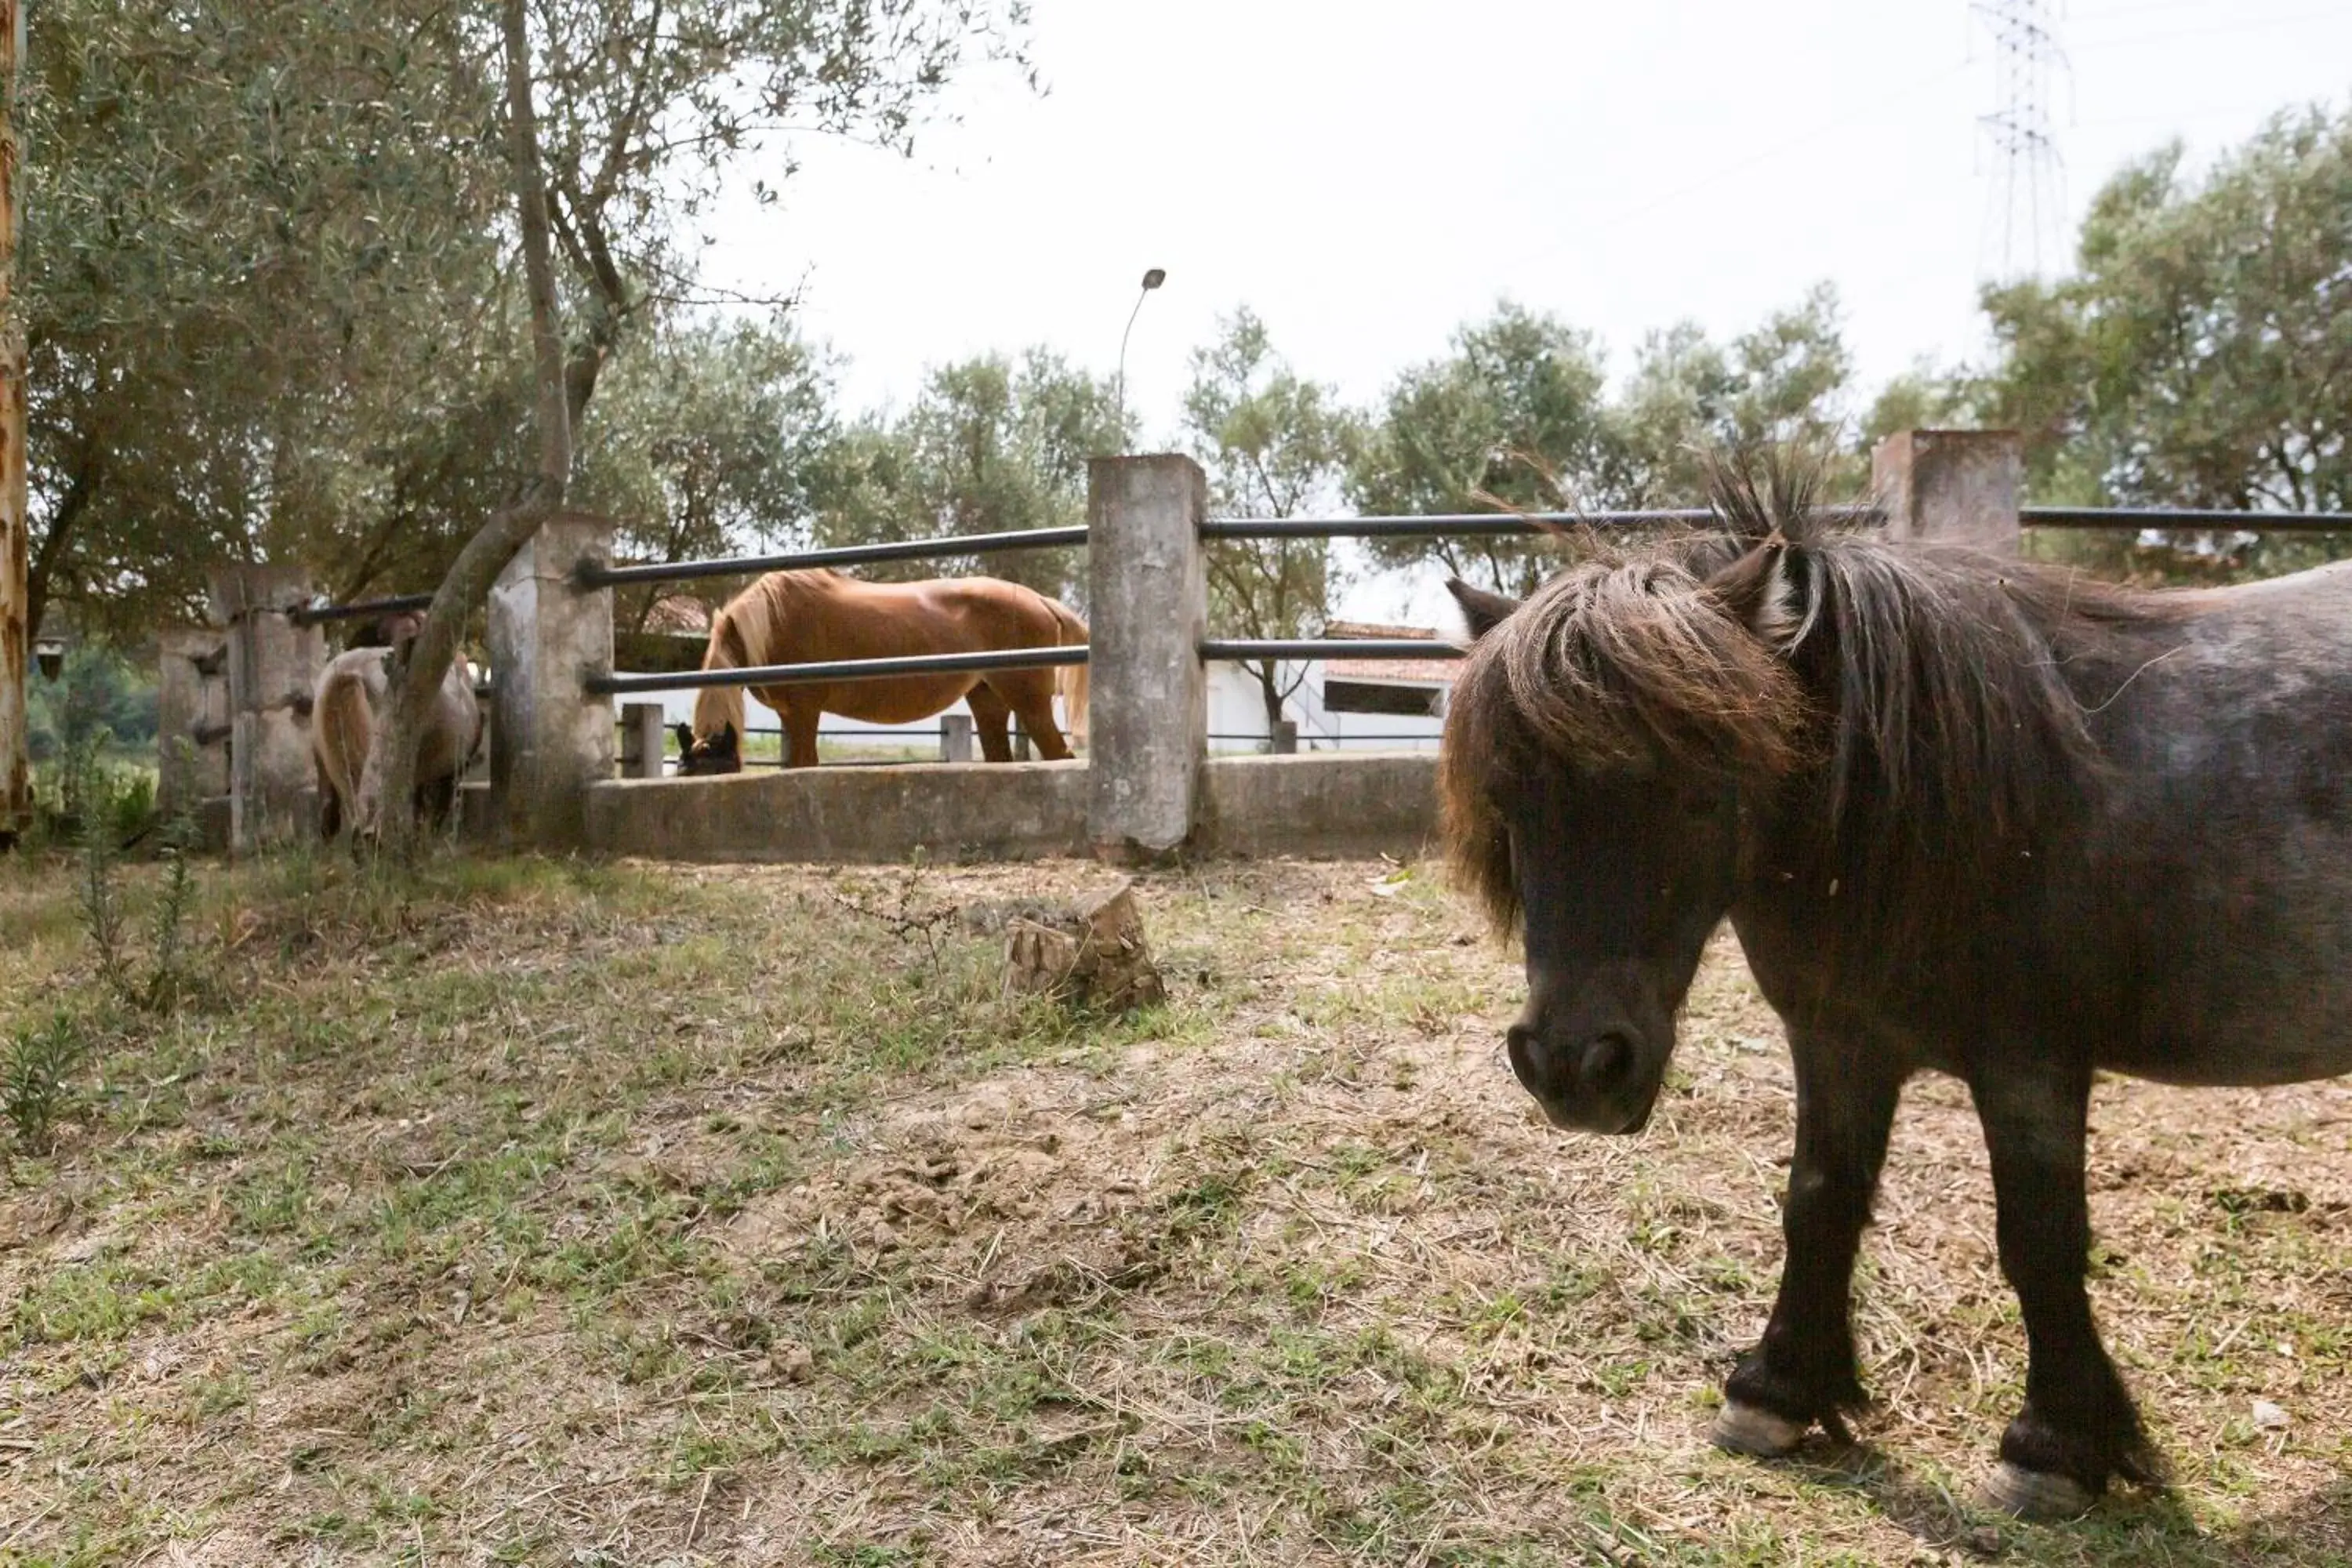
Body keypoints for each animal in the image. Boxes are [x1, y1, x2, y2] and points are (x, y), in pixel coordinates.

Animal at [677, 573, 1087, 775]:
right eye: (685, 773)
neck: (769, 623)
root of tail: (1040, 600)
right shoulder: (790, 715)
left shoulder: (804, 711)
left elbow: (806, 764)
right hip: (987, 700)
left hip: (1029, 703)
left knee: (1059, 754)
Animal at [1439, 451, 2352, 1523]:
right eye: (1509, 799)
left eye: (1700, 789)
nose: (1575, 1069)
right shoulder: (1838, 1040)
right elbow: (1818, 1199)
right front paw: (1777, 1390)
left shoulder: (2031, 1066)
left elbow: (2039, 1239)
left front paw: (2054, 1446)